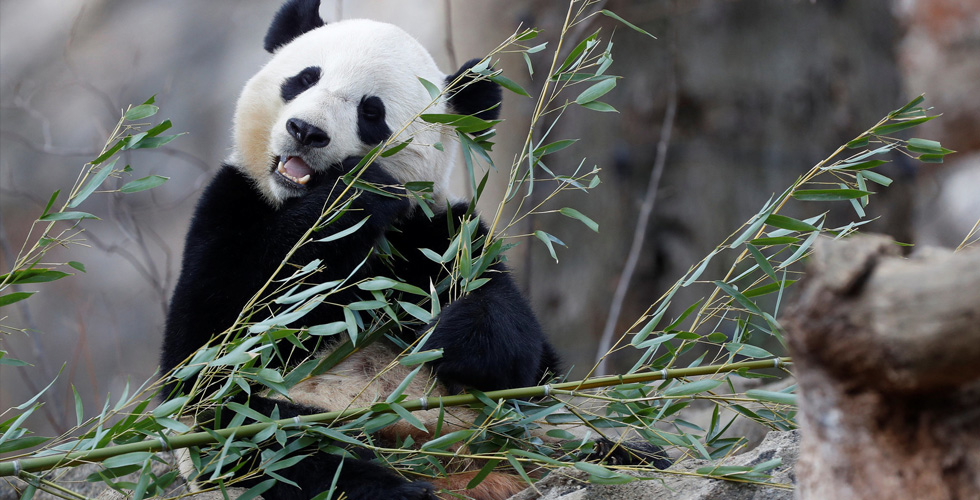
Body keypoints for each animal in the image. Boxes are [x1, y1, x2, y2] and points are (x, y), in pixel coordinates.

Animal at [161, 0, 564, 500]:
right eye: (304, 78)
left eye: (371, 112)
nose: (305, 130)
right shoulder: (231, 204)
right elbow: (210, 340)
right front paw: (354, 194)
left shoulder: (436, 234)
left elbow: (520, 350)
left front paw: (454, 338)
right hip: (282, 419)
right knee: (266, 438)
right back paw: (392, 487)